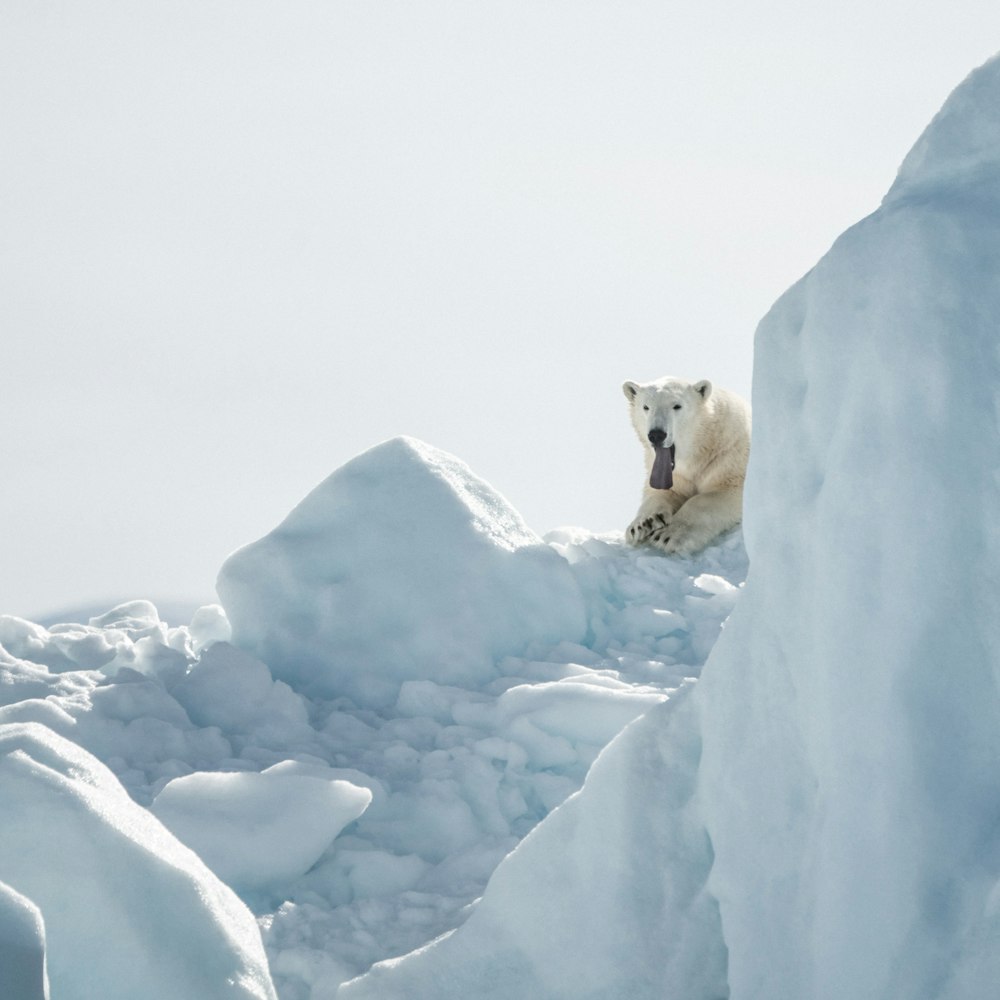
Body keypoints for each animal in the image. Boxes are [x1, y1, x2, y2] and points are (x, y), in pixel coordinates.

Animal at [620, 378, 752, 560]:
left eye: (677, 406)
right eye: (646, 406)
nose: (656, 434)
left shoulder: (730, 456)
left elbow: (716, 495)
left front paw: (669, 535)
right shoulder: (675, 475)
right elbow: (663, 491)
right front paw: (643, 524)